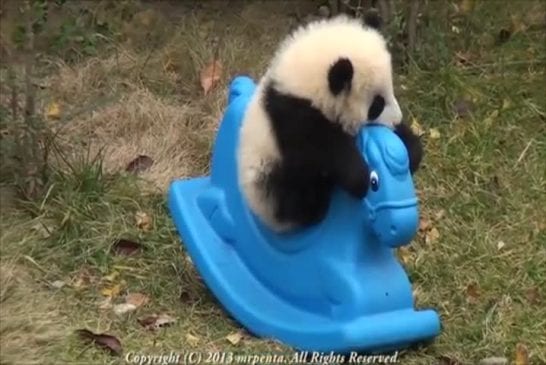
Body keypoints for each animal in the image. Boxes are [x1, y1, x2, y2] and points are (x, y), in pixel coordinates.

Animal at [236, 14, 418, 232]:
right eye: (377, 105)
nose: (397, 119)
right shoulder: (293, 115)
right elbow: (323, 147)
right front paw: (360, 178)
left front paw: (412, 149)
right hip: (269, 179)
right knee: (299, 197)